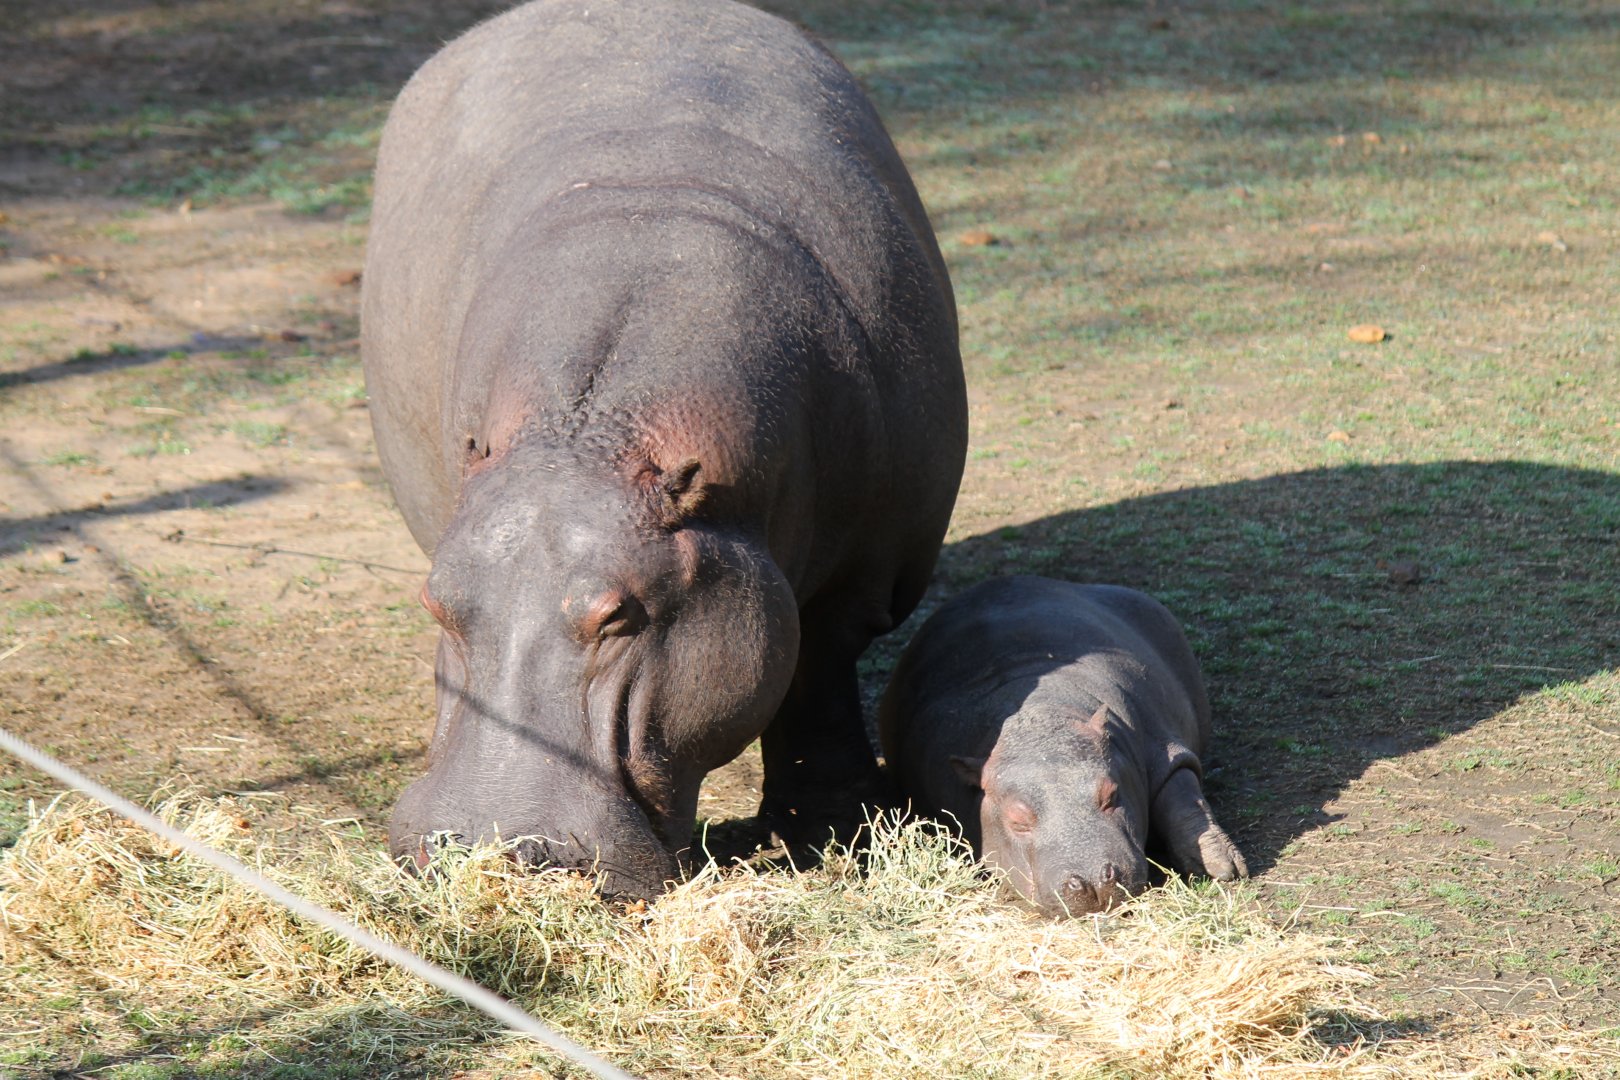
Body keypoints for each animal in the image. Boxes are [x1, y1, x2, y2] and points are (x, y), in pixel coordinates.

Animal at [360, 0, 967, 899]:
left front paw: (839, 832)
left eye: (620, 616)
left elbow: (815, 683)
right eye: (437, 601)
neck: (588, 436)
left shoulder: (858, 578)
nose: (491, 847)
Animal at [879, 576, 1247, 917]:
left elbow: (1185, 800)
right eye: (1016, 819)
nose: (1092, 880)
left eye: (1112, 794)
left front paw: (1222, 867)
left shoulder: (1160, 748)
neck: (1039, 719)